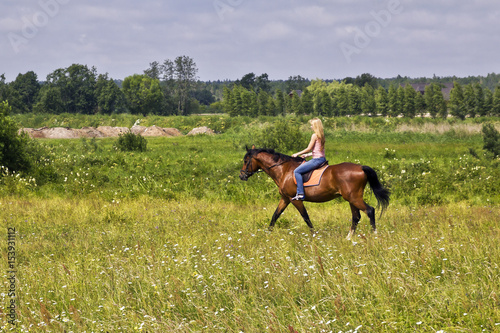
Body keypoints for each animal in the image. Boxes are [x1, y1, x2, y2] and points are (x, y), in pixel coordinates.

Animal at [239, 147, 390, 239]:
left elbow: (305, 217)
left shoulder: (295, 199)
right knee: (356, 216)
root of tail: (360, 167)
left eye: (246, 161)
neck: (284, 170)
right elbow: (275, 216)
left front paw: (314, 236)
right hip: (351, 199)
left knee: (370, 210)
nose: (241, 176)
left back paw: (375, 235)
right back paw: (348, 238)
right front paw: (267, 234)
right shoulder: (285, 199)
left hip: (354, 198)